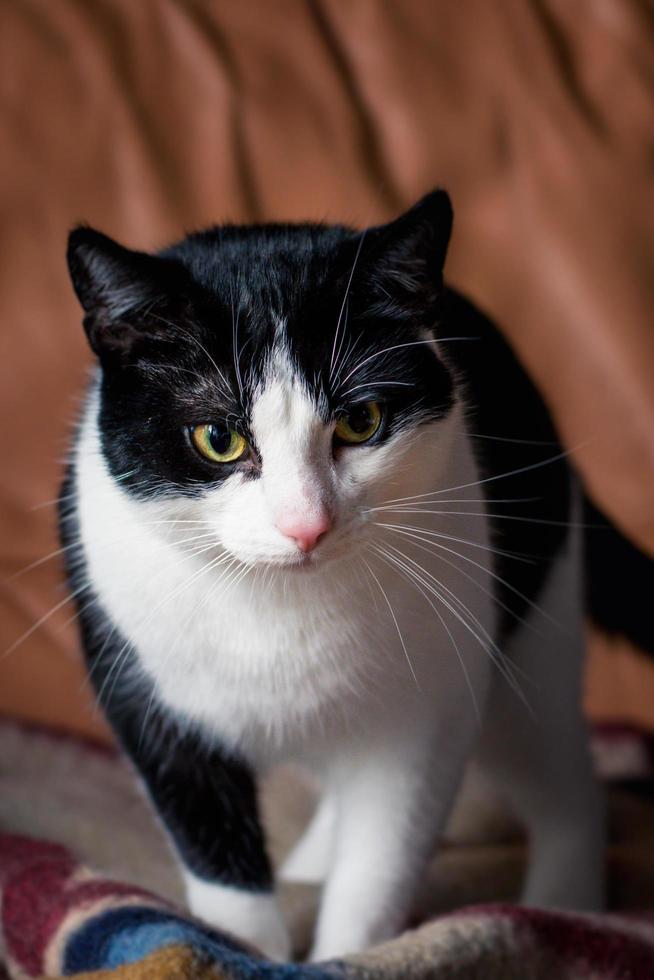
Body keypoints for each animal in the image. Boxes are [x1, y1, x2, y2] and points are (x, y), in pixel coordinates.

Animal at [64, 193, 608, 964]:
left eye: (362, 421)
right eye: (218, 438)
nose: (306, 525)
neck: (277, 605)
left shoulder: (425, 716)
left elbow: (381, 861)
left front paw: (345, 956)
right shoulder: (148, 698)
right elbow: (220, 867)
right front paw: (246, 954)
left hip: (536, 623)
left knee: (562, 780)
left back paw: (570, 904)